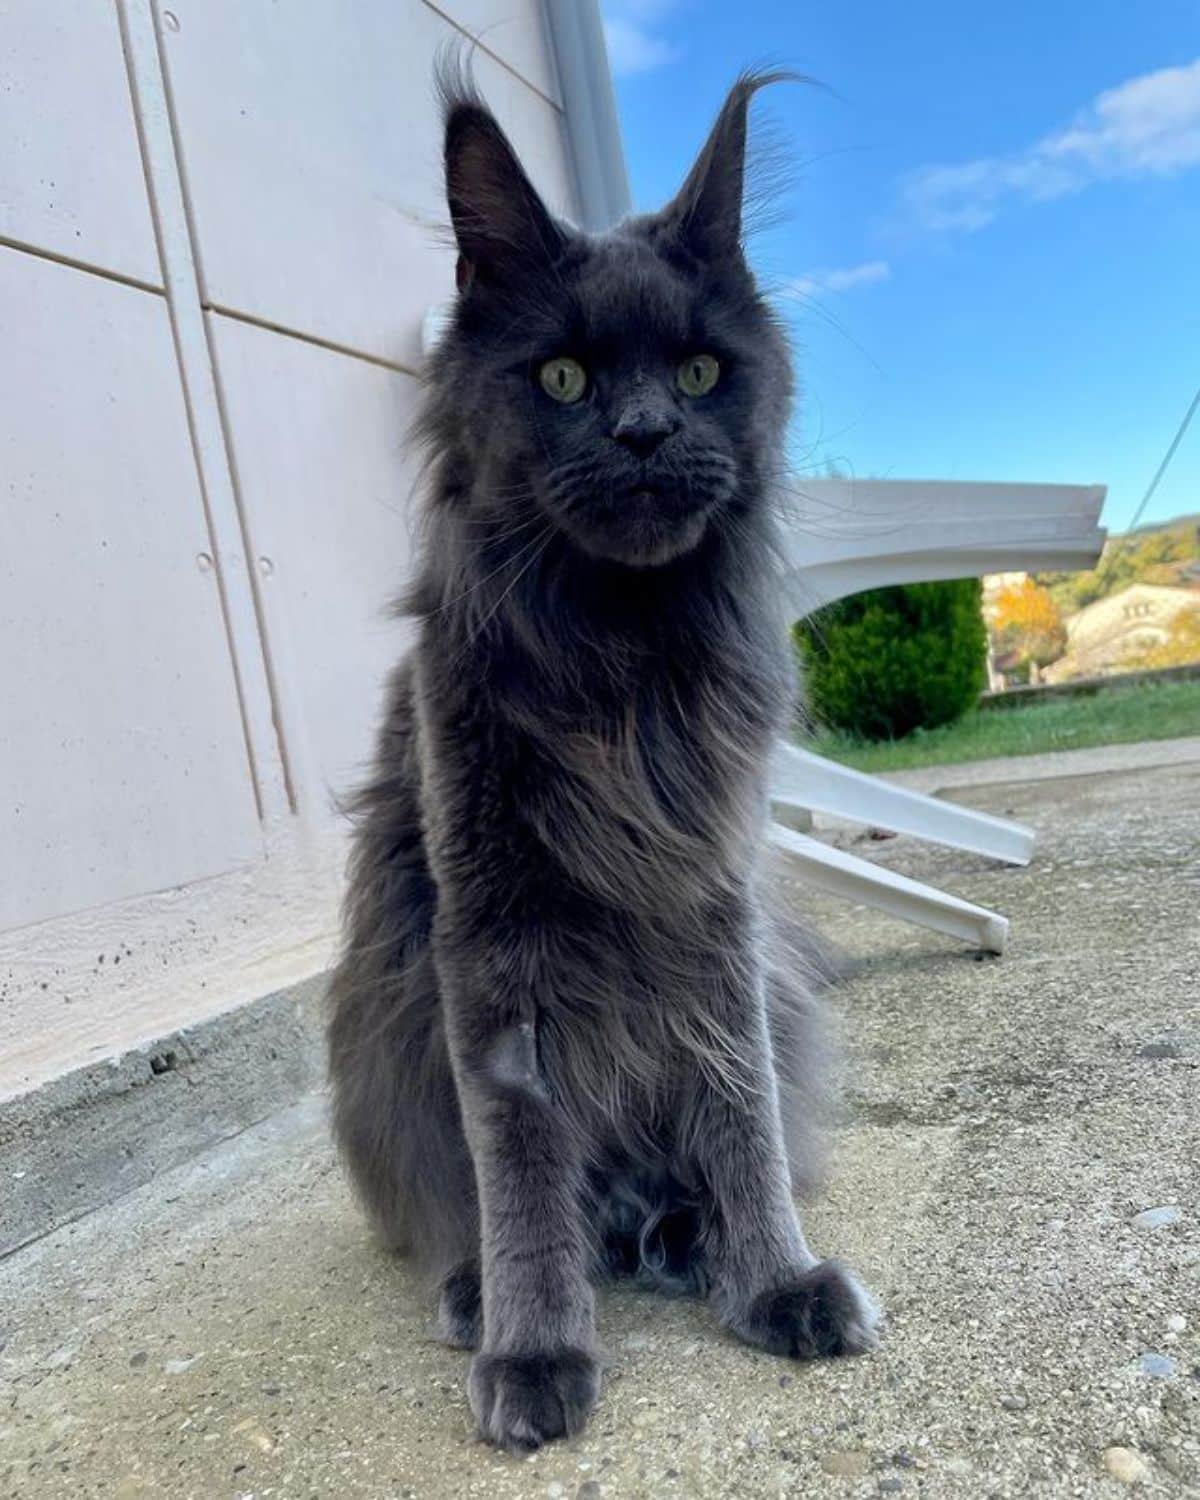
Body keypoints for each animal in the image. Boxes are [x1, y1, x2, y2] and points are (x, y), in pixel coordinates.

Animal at [324, 67, 876, 1452]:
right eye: (564, 376)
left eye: (700, 368)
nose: (640, 431)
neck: (618, 661)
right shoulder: (487, 948)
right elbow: (519, 1168)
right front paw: (535, 1346)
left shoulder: (715, 910)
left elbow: (742, 1105)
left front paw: (774, 1274)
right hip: (384, 1020)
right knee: (481, 1201)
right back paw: (491, 1286)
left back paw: (687, 1234)